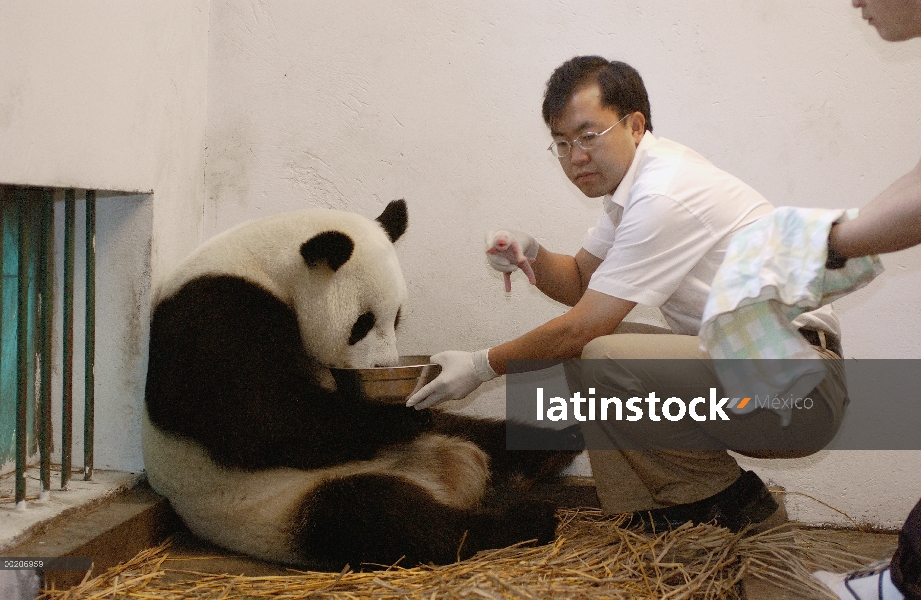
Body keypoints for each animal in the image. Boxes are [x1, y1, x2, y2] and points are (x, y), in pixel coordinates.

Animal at [142, 199, 584, 568]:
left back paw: (551, 449)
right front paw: (395, 418)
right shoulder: (214, 314)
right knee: (376, 516)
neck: (267, 268)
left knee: (473, 433)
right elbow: (261, 421)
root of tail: (443, 481)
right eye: (362, 323)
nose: (383, 365)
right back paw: (524, 520)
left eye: (398, 317)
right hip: (276, 506)